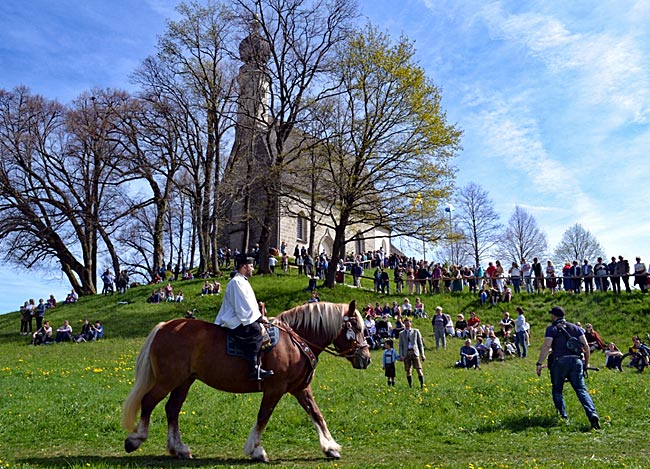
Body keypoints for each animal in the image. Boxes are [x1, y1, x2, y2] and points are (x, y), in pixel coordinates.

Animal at [121, 300, 370, 460]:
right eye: (357, 327)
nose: (366, 358)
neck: (294, 341)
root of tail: (165, 326)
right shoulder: (275, 389)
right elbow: (263, 416)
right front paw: (256, 450)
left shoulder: (300, 388)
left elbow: (316, 414)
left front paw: (329, 447)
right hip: (168, 380)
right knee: (148, 402)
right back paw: (136, 439)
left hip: (184, 381)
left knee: (172, 409)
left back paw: (179, 449)